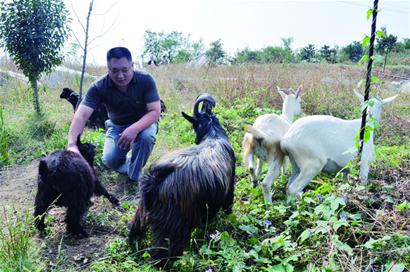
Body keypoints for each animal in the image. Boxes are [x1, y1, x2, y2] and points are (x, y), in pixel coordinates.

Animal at [128, 93, 237, 266]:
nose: (196, 141)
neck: (214, 135)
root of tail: (156, 178)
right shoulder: (228, 189)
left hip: (142, 211)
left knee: (134, 230)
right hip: (176, 226)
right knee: (163, 255)